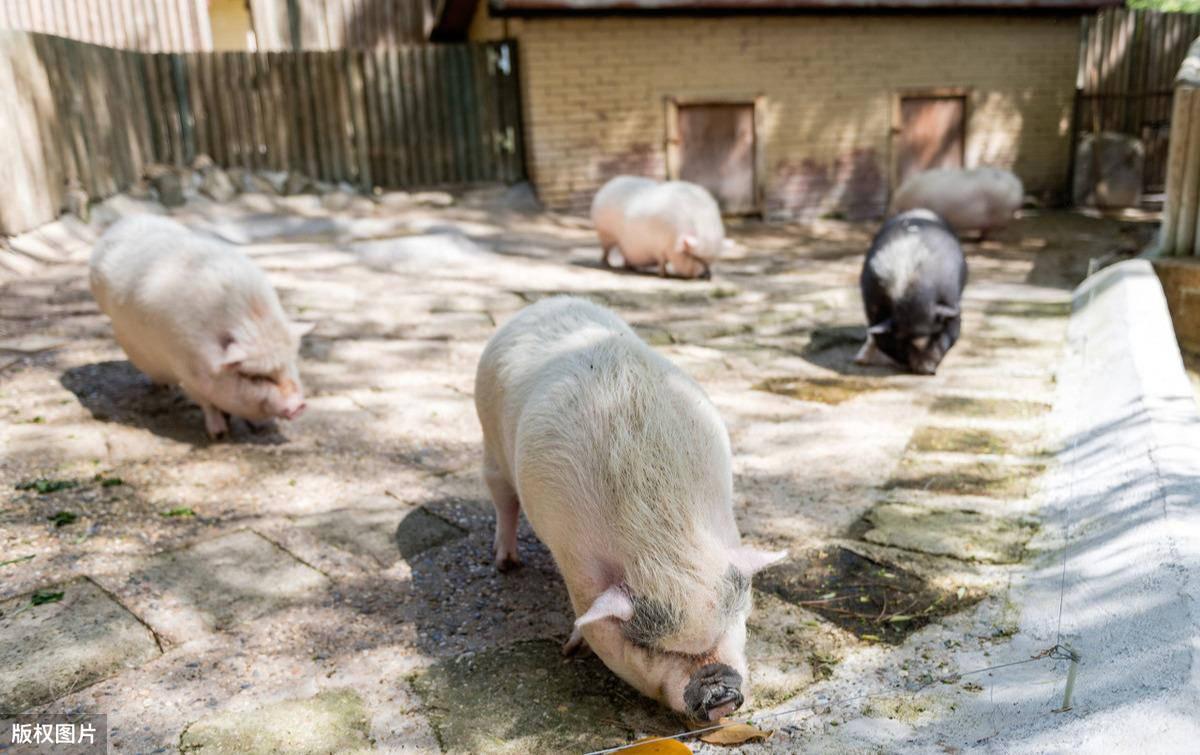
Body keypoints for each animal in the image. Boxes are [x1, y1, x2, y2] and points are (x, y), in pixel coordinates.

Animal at [90, 213, 312, 436]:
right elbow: (208, 405)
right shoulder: (187, 373)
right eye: (253, 377)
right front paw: (219, 434)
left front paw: (260, 428)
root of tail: (127, 220)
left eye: (289, 364)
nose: (299, 406)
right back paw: (164, 389)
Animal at [472, 294, 782, 720]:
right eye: (650, 647)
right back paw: (506, 564)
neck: (666, 537)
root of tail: (547, 303)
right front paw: (571, 648)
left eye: (732, 623)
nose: (720, 695)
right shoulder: (575, 561)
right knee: (503, 499)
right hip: (489, 440)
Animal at [590, 175, 720, 278]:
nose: (706, 276)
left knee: (624, 255)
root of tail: (607, 186)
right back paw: (607, 264)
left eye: (710, 261)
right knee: (606, 250)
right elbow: (661, 261)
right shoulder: (659, 246)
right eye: (695, 257)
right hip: (605, 233)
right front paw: (664, 275)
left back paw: (630, 268)